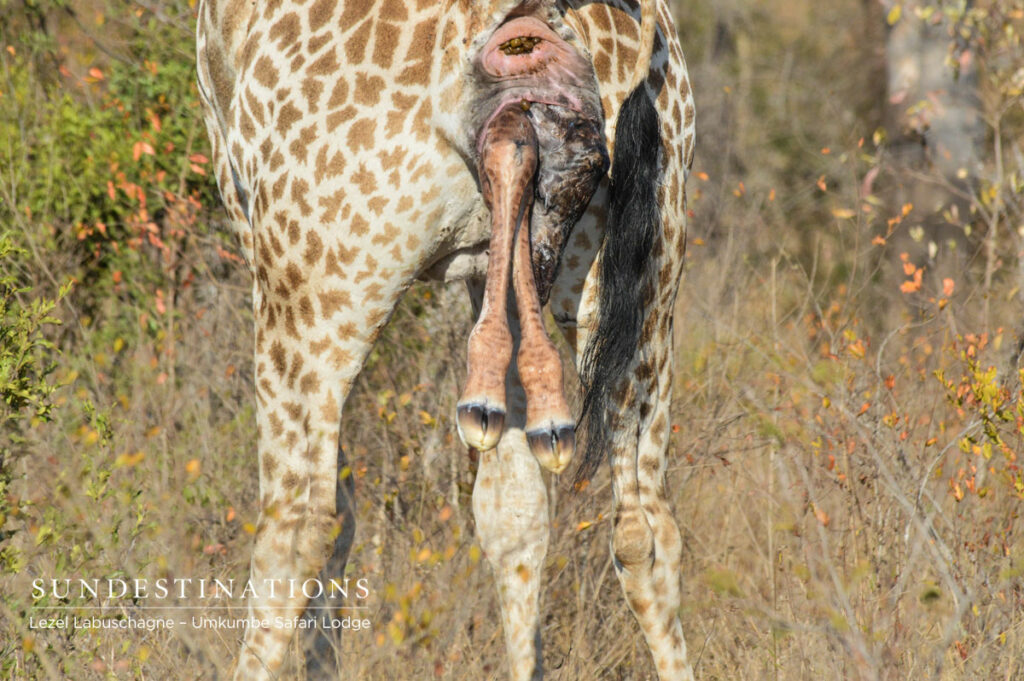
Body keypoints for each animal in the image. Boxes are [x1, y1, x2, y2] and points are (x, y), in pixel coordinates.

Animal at [195, 0, 696, 679]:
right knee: (644, 527)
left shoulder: (255, 226)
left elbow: (337, 510)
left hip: (311, 279)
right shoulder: (489, 269)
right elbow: (514, 511)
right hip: (643, 277)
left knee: (300, 524)